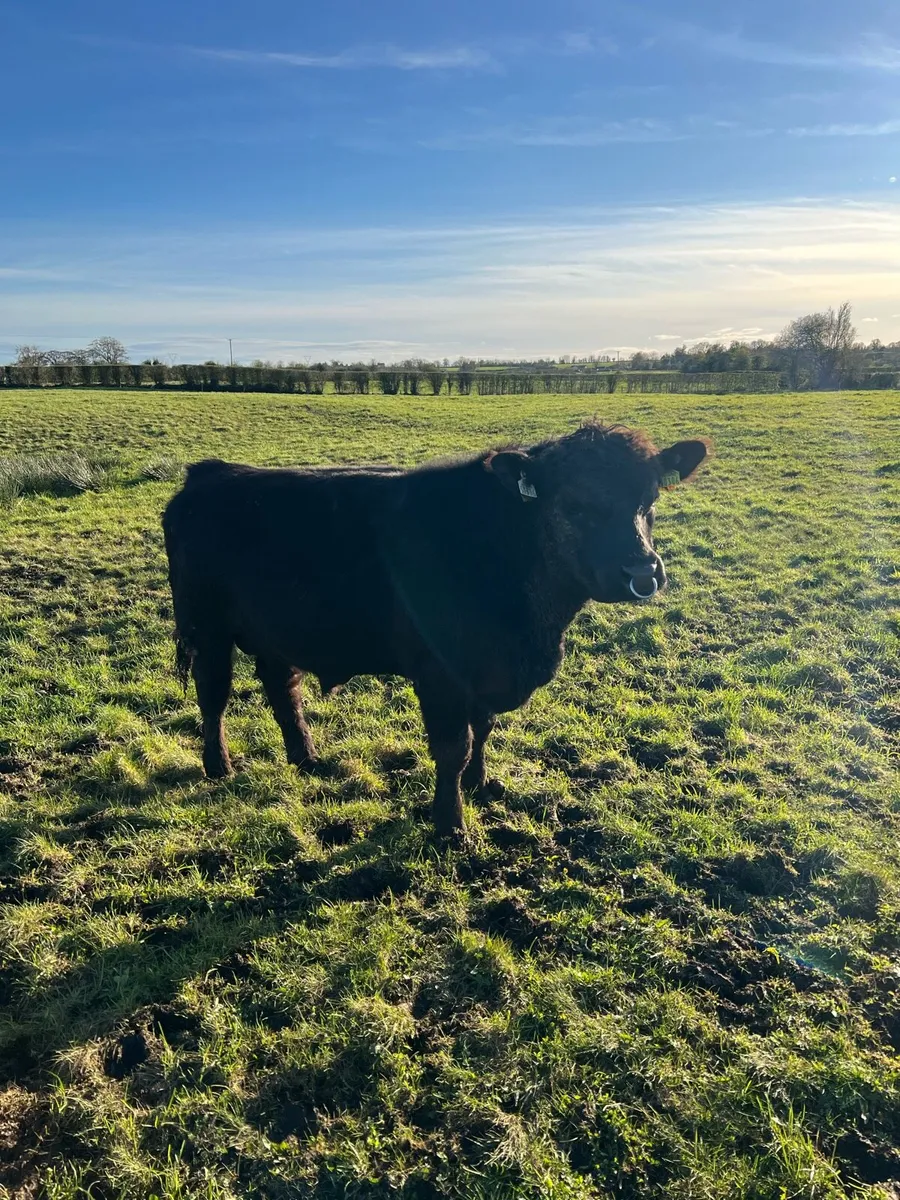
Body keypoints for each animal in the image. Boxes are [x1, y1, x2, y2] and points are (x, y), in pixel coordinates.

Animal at [162, 423, 710, 835]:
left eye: (649, 499)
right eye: (573, 504)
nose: (642, 572)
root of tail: (209, 473)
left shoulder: (485, 671)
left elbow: (483, 728)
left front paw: (481, 784)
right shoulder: (440, 673)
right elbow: (452, 747)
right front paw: (450, 824)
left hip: (276, 629)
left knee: (282, 688)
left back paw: (307, 757)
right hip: (205, 626)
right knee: (214, 696)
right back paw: (219, 765)